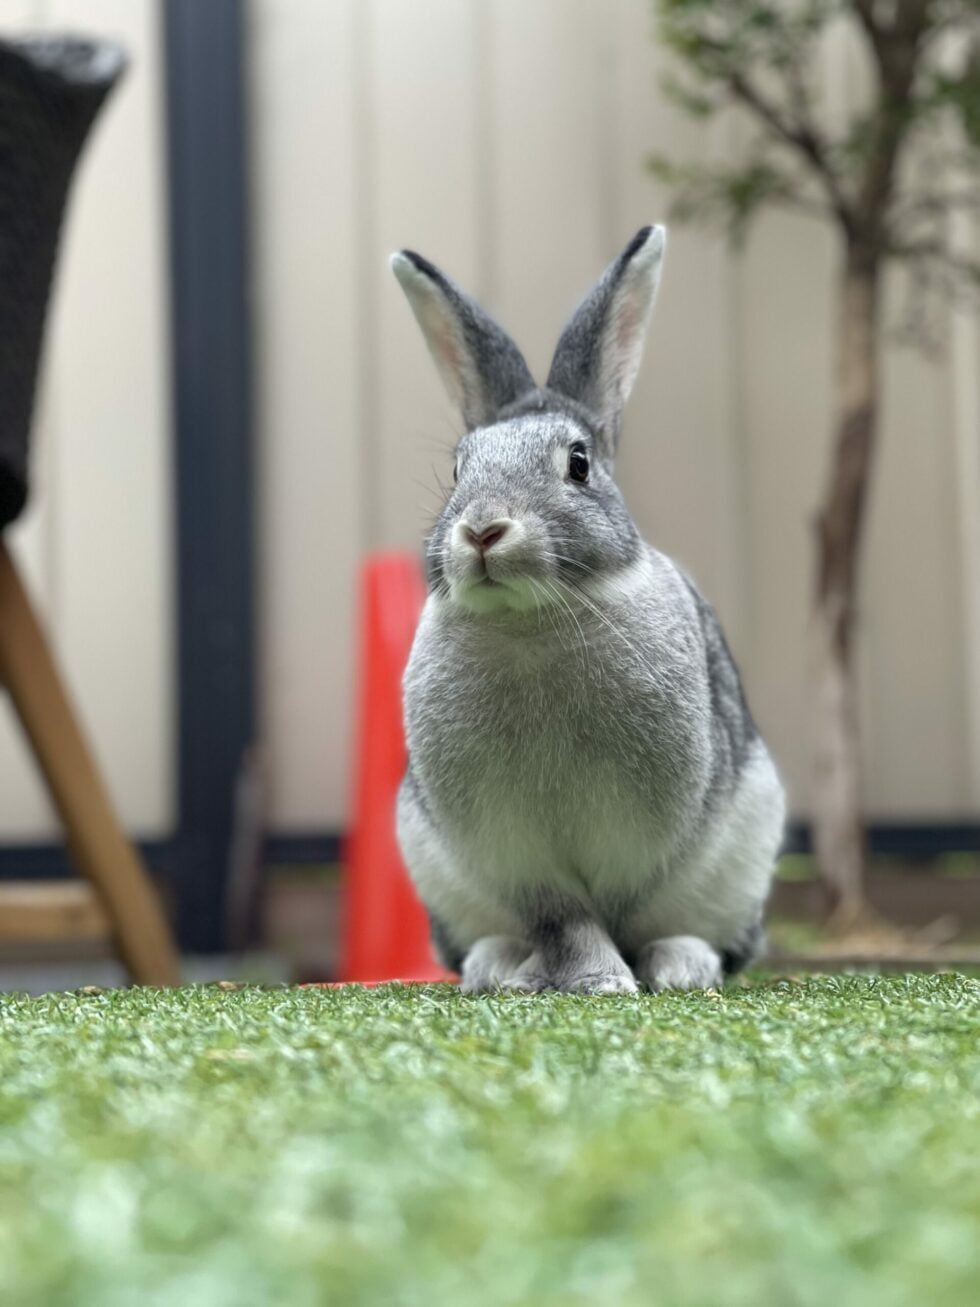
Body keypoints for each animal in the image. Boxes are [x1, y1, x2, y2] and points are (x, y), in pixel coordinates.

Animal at [386, 227, 789, 998]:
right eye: (458, 469)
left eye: (578, 464)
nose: (482, 530)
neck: (531, 623)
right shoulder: (519, 859)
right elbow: (564, 916)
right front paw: (593, 979)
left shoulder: (637, 843)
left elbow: (612, 909)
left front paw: (613, 981)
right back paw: (496, 967)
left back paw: (681, 965)